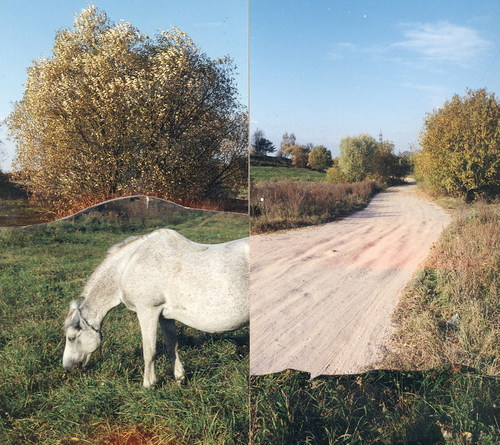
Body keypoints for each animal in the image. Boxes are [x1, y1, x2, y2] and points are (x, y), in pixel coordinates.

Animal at [63, 227, 249, 386]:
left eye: (71, 338)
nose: (67, 367)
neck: (130, 264)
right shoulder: (165, 316)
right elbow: (172, 345)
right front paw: (179, 377)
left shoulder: (148, 311)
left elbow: (149, 350)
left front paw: (149, 384)